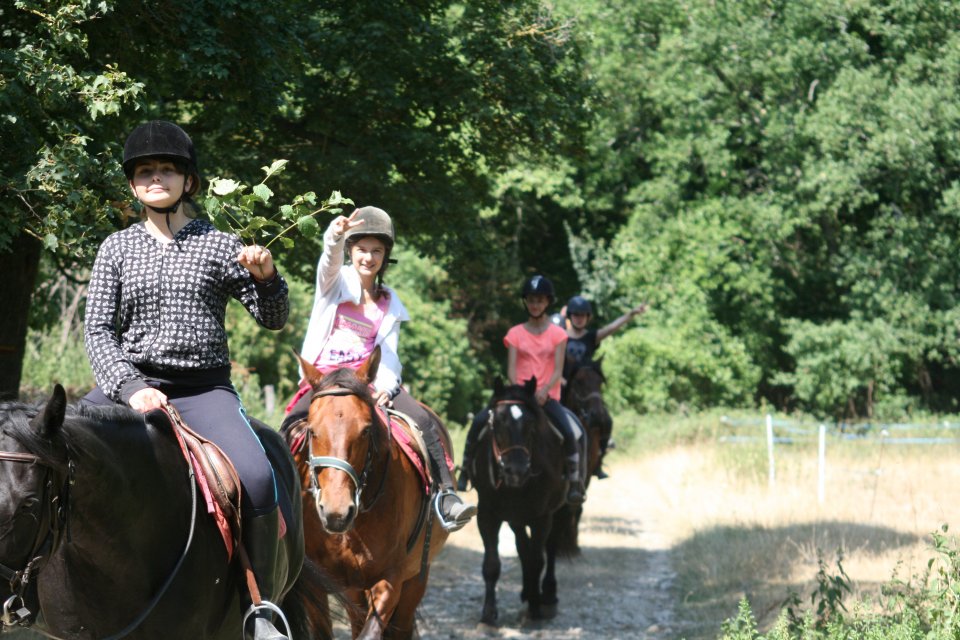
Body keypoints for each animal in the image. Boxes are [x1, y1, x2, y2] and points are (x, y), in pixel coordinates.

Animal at [284, 350, 452, 640]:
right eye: (312, 430)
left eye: (365, 430)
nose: (336, 512)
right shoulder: (318, 583)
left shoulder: (391, 579)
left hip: (415, 578)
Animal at [466, 380, 572, 624]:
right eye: (496, 423)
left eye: (531, 424)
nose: (517, 471)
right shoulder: (487, 514)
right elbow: (492, 564)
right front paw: (488, 613)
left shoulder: (542, 517)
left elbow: (537, 560)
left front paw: (535, 606)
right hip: (517, 518)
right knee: (523, 548)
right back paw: (526, 592)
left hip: (559, 509)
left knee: (549, 548)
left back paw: (546, 596)